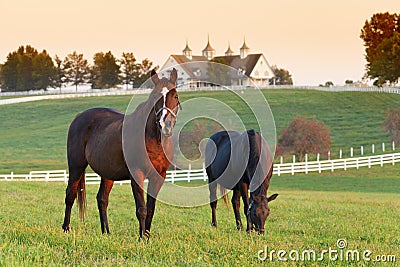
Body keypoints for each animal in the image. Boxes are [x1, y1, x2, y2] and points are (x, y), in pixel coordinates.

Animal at [61, 68, 180, 240]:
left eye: (175, 96)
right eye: (154, 96)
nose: (166, 125)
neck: (153, 140)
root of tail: (79, 117)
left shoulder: (159, 176)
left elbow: (151, 208)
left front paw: (147, 236)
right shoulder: (136, 175)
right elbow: (141, 209)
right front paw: (142, 238)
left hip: (107, 174)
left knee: (102, 199)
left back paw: (106, 232)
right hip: (76, 166)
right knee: (70, 195)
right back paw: (66, 228)